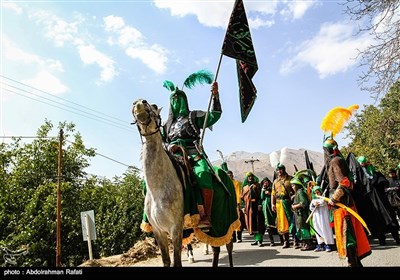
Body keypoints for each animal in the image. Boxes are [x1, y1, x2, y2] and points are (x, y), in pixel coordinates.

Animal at [131, 98, 238, 266]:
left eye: (154, 106)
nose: (139, 103)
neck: (159, 188)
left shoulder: (176, 228)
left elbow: (177, 262)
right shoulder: (158, 231)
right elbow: (166, 261)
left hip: (226, 221)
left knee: (228, 246)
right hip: (213, 228)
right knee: (216, 248)